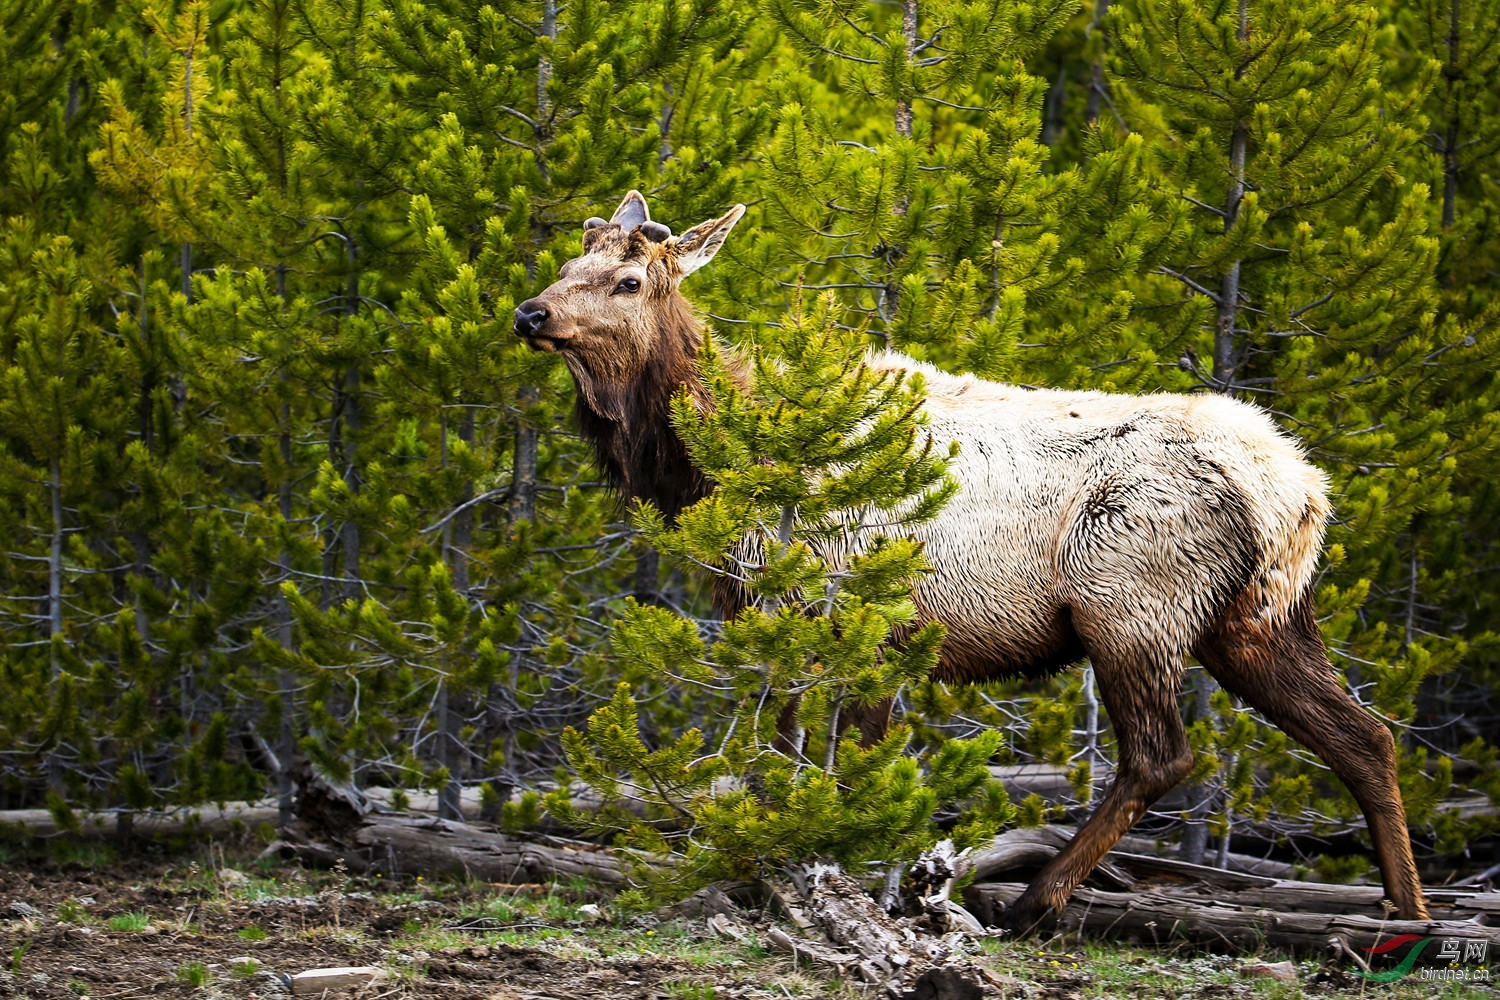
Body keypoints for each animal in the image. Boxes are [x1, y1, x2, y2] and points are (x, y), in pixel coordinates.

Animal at [513, 193, 1428, 929]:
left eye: (629, 280)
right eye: (565, 265)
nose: (528, 314)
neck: (710, 471)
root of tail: (1300, 490)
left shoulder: (868, 615)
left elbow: (853, 766)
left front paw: (844, 879)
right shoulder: (781, 617)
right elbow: (782, 756)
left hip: (1132, 606)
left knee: (1163, 754)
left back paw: (1038, 900)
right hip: (1258, 619)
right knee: (1366, 736)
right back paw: (1405, 911)